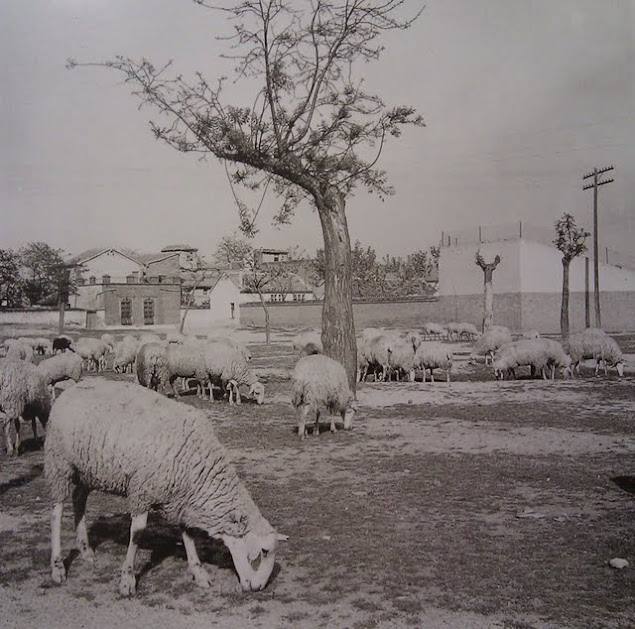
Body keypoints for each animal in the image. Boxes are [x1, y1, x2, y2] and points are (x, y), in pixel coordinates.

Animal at [44, 376, 284, 596]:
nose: (259, 587)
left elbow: (188, 532)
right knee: (56, 512)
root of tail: (70, 389)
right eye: (264, 551)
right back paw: (57, 566)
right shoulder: (142, 491)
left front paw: (198, 571)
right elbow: (137, 534)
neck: (199, 469)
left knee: (79, 498)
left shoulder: (181, 498)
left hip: (89, 470)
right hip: (59, 463)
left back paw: (85, 550)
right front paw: (127, 579)